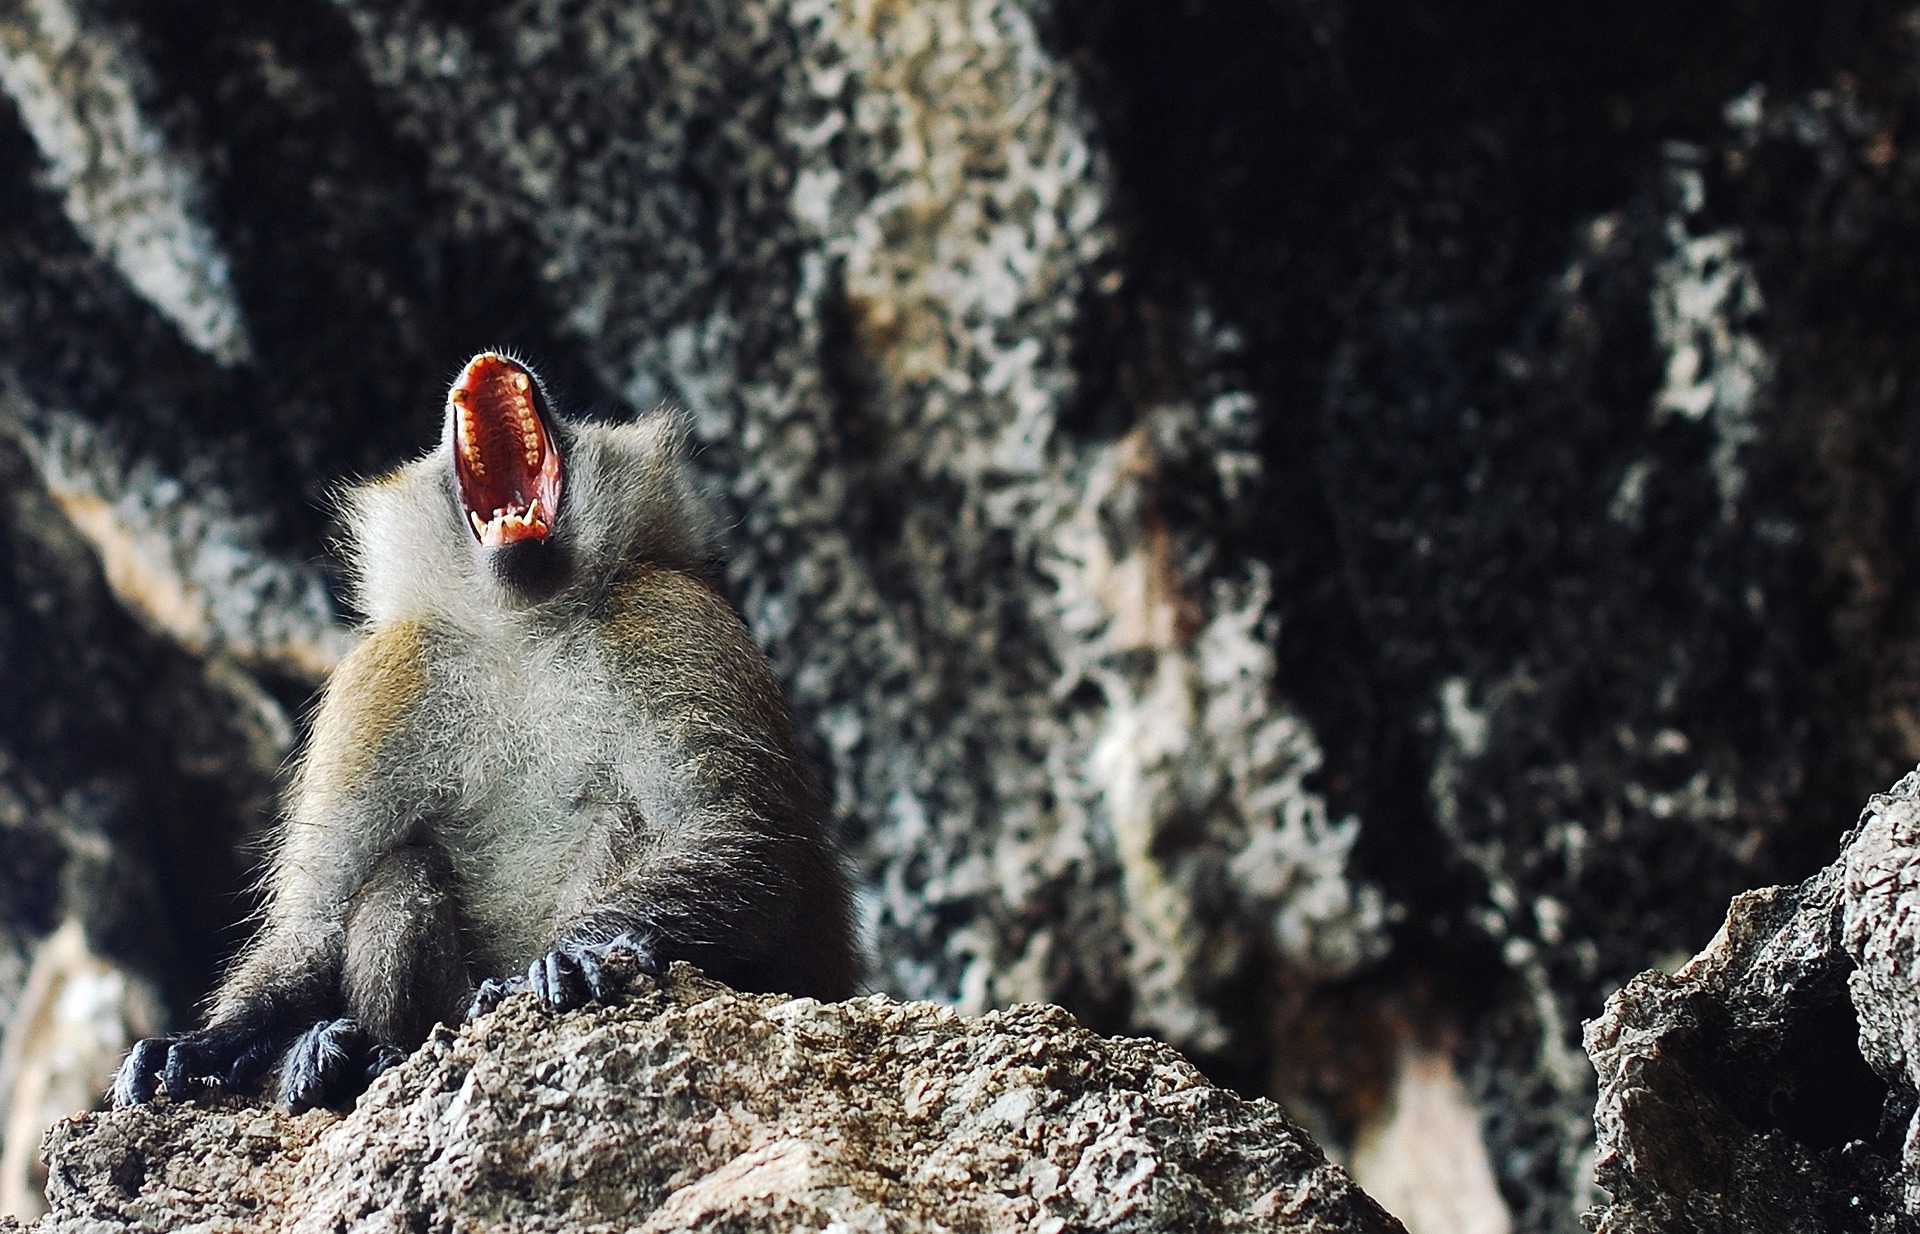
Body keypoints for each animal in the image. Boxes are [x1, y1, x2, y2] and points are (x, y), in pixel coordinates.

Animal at [112, 352, 857, 1113]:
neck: (522, 627)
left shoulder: (667, 616)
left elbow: (745, 837)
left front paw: (582, 948)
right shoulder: (384, 678)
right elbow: (315, 920)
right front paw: (213, 1043)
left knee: (623, 815)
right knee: (401, 875)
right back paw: (363, 1052)